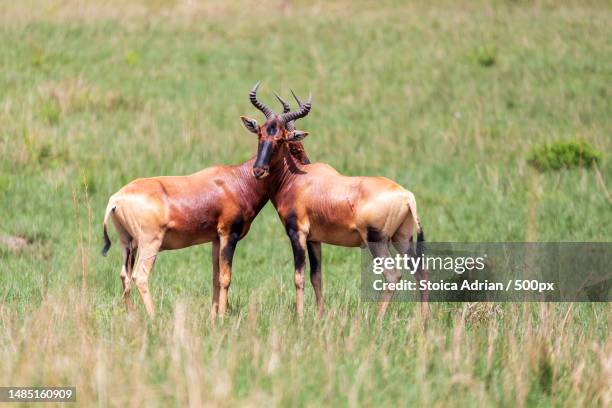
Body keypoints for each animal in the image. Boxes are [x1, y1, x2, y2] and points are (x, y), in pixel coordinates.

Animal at [103, 85, 310, 316]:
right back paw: (154, 317)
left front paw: (213, 317)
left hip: (127, 243)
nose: (259, 170)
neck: (236, 179)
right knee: (140, 276)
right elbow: (226, 278)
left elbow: (215, 278)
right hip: (149, 242)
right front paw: (222, 317)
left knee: (124, 276)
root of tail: (117, 199)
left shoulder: (215, 239)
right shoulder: (229, 234)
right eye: (261, 134)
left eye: (280, 138)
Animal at [241, 83, 428, 318]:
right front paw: (320, 316)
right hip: (402, 239)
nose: (259, 170)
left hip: (377, 241)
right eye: (260, 133)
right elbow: (316, 277)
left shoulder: (297, 234)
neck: (298, 179)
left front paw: (299, 318)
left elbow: (299, 277)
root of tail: (406, 196)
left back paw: (377, 319)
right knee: (421, 272)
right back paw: (423, 319)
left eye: (281, 139)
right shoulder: (314, 239)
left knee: (393, 275)